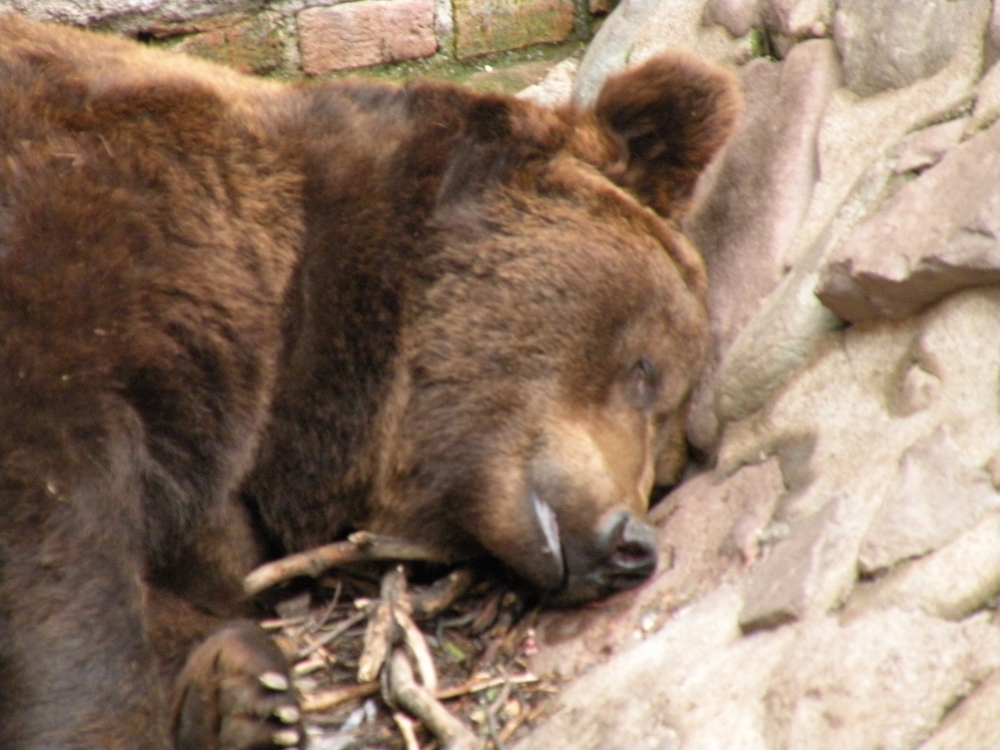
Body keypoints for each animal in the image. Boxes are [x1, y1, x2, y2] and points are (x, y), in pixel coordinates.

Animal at [0, 11, 736, 750]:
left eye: (667, 467)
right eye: (644, 372)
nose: (633, 544)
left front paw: (242, 690)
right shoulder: (100, 230)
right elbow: (57, 527)